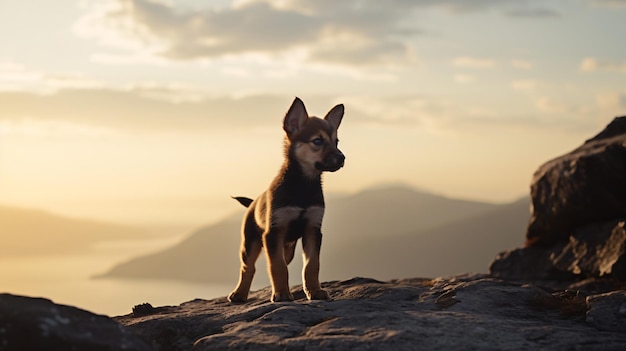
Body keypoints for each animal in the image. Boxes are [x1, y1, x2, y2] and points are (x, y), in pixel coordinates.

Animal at [227, 97, 344, 304]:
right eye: (317, 140)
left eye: (336, 141)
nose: (342, 158)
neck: (303, 186)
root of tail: (253, 203)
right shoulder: (273, 232)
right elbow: (278, 267)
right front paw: (281, 293)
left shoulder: (313, 229)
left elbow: (312, 265)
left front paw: (315, 291)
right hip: (250, 243)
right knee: (248, 267)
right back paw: (239, 293)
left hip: (287, 247)